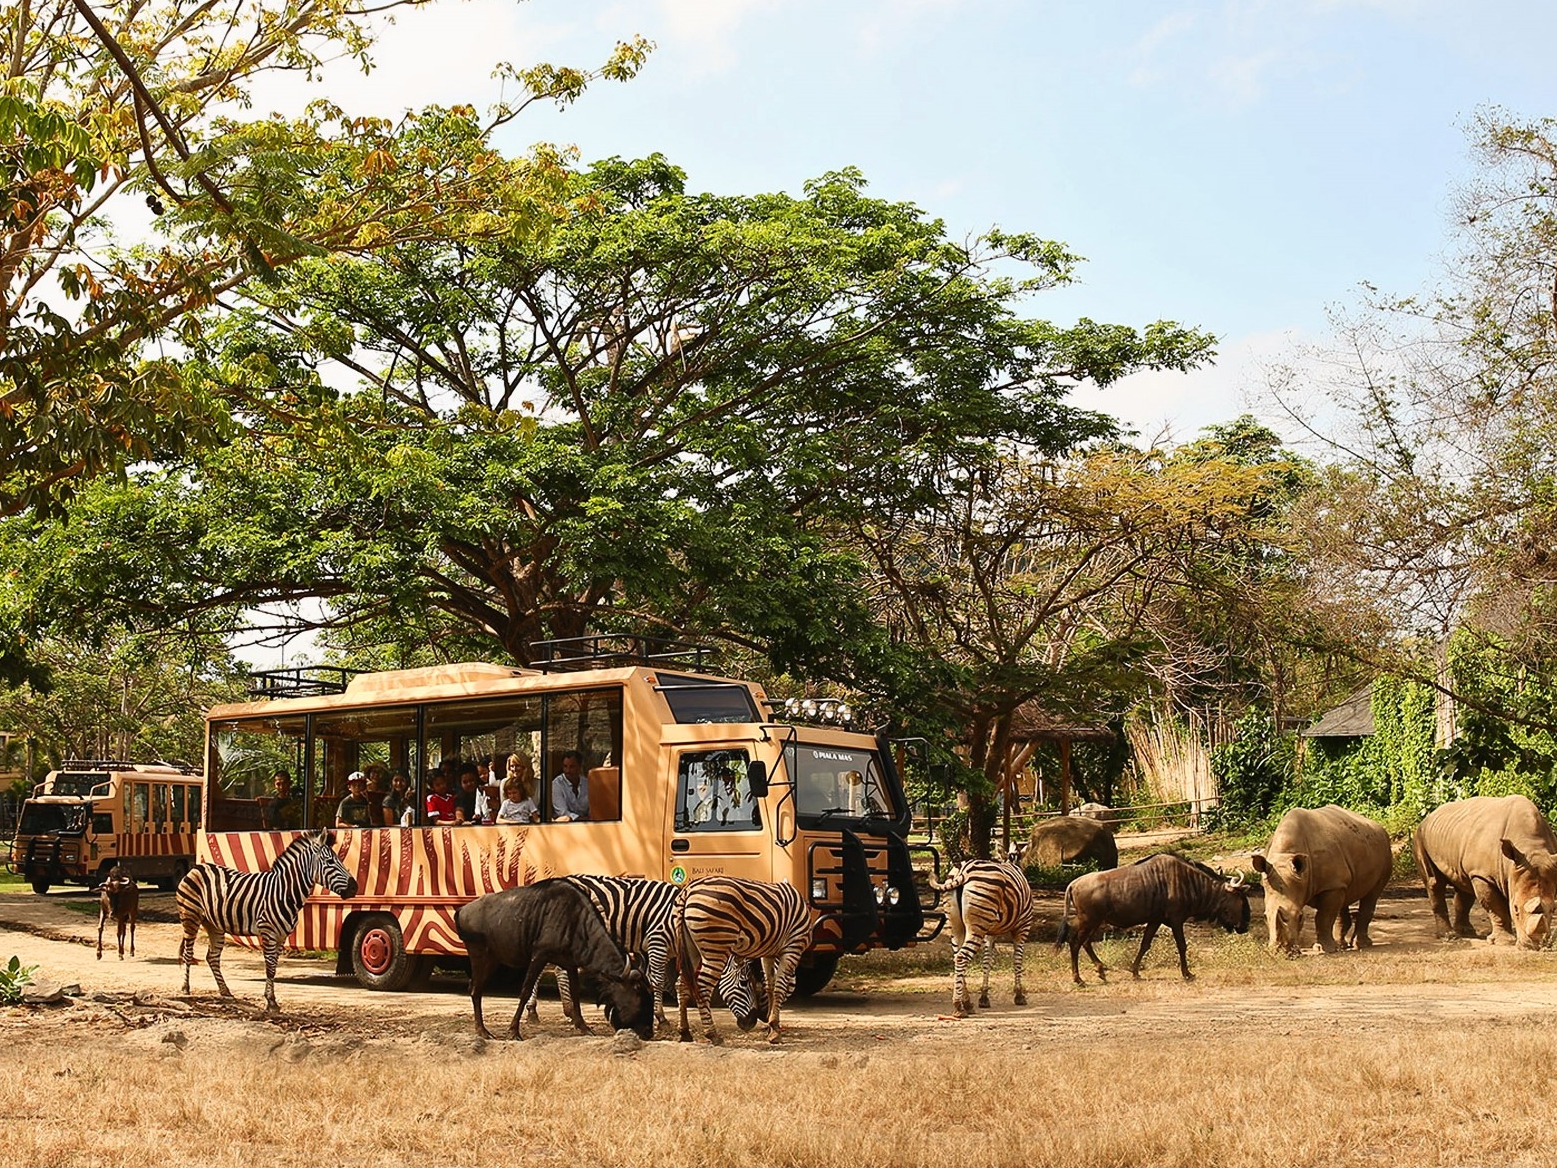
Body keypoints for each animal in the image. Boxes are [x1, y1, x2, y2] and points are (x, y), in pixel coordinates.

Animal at [178, 834, 356, 1015]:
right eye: (330, 862)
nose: (354, 888)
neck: (284, 892)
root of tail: (197, 867)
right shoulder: (268, 931)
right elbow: (270, 967)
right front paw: (270, 1002)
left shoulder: (282, 936)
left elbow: (274, 967)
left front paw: (272, 1001)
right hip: (190, 916)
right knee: (188, 953)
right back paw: (185, 988)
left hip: (215, 925)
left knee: (212, 957)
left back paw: (225, 991)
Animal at [526, 872, 762, 1040]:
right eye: (744, 983)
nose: (751, 1022)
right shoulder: (657, 941)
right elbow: (657, 981)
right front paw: (661, 1019)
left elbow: (673, 982)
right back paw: (539, 1011)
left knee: (556, 968)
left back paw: (559, 1011)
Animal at [675, 878, 809, 1040]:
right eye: (744, 983)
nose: (754, 1021)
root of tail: (688, 890)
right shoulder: (793, 947)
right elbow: (779, 987)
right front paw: (775, 1030)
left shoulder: (768, 953)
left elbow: (770, 985)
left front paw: (772, 1028)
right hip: (716, 947)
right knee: (702, 987)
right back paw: (712, 1034)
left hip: (690, 948)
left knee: (682, 984)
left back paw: (684, 1032)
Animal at [921, 853, 1033, 1021]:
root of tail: (964, 870)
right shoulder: (1023, 927)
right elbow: (1017, 961)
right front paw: (1019, 995)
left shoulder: (990, 934)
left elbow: (987, 962)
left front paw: (984, 997)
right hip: (977, 926)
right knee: (962, 957)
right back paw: (959, 1007)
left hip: (957, 926)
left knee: (957, 956)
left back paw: (967, 1003)